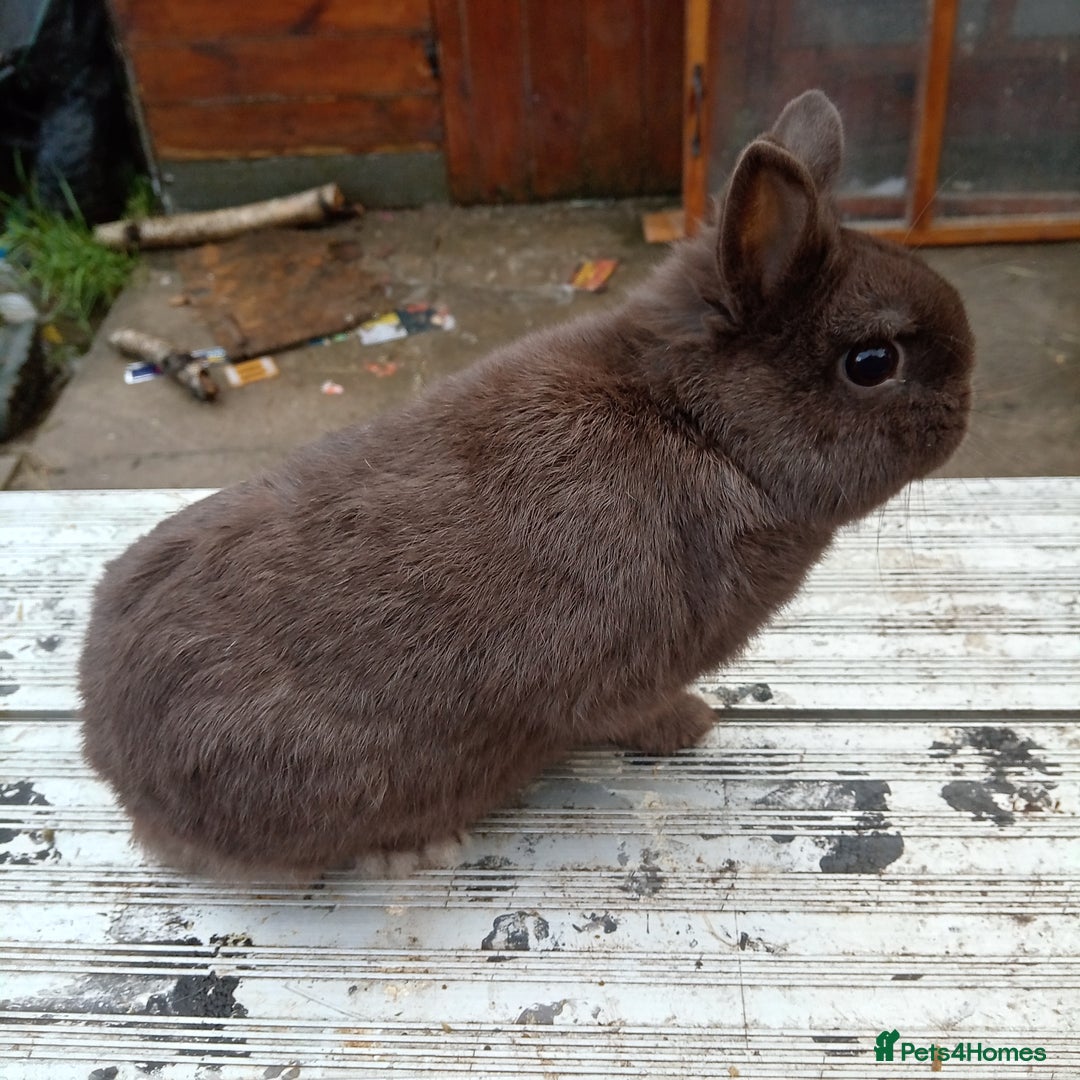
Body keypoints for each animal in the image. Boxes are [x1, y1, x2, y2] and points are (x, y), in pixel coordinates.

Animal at [79, 90, 974, 878]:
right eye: (872, 363)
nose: (966, 409)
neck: (701, 426)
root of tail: (119, 770)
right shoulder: (619, 675)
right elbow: (628, 712)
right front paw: (692, 725)